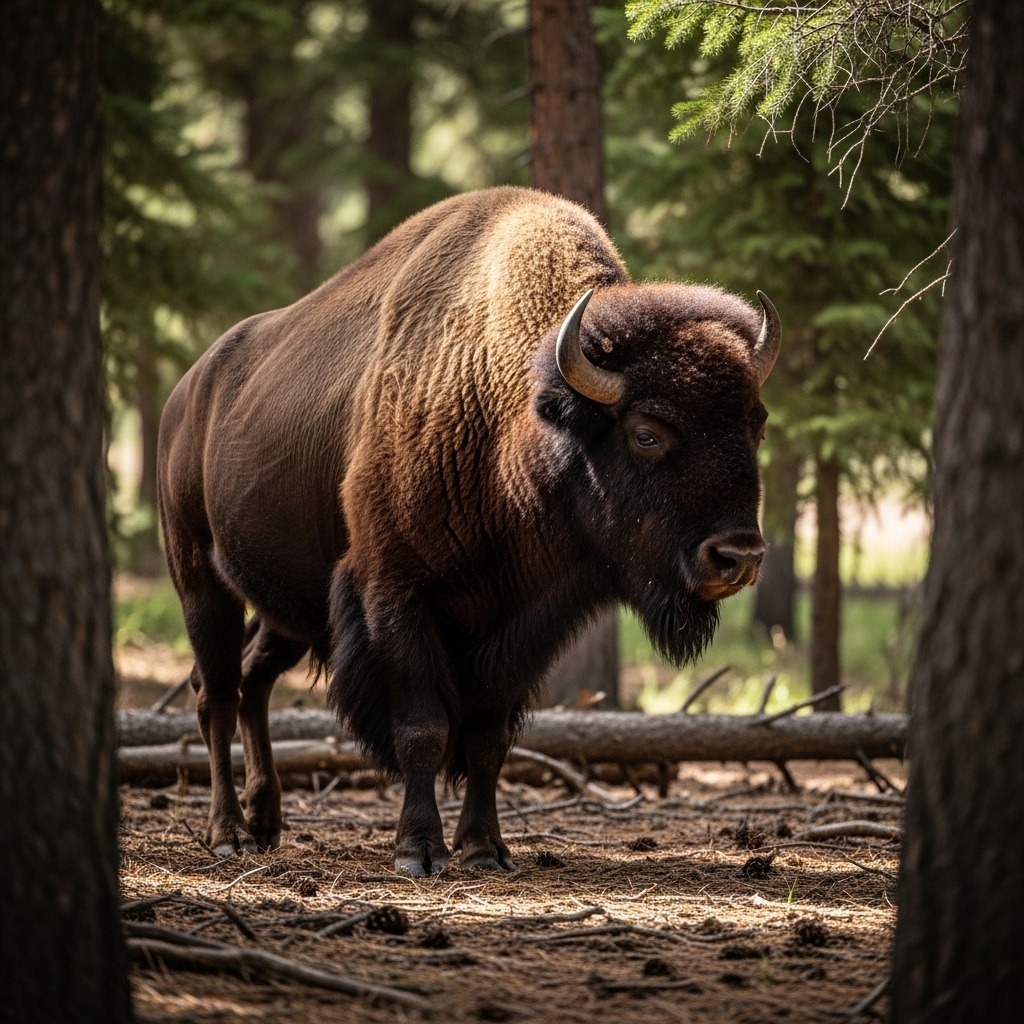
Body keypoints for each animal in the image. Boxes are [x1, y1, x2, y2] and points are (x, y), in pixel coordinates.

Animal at [157, 186, 780, 874]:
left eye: (756, 422)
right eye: (647, 433)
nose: (738, 555)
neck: (511, 412)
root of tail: (184, 394)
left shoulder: (523, 623)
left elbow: (487, 738)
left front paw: (485, 848)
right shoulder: (396, 597)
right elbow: (423, 730)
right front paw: (419, 851)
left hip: (290, 609)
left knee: (253, 679)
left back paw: (267, 822)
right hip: (198, 579)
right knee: (215, 692)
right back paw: (229, 833)